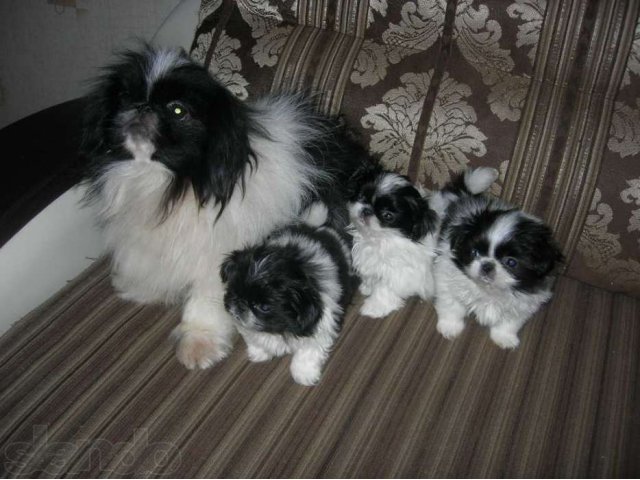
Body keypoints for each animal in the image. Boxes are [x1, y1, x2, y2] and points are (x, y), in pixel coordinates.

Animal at [220, 204, 356, 384]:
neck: (278, 329)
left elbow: (307, 352)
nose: (241, 304)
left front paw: (304, 374)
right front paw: (259, 353)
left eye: (264, 307)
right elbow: (253, 337)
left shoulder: (321, 325)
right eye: (235, 292)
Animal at [344, 164, 440, 318]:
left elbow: (385, 288)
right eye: (361, 197)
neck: (381, 240)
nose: (366, 211)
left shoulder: (401, 272)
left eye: (388, 216)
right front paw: (367, 287)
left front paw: (374, 307)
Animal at [432, 174, 564, 346]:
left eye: (511, 262)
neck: (490, 291)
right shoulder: (448, 280)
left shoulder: (524, 303)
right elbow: (452, 305)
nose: (487, 265)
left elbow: (511, 322)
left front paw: (504, 337)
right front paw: (450, 327)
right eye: (474, 252)